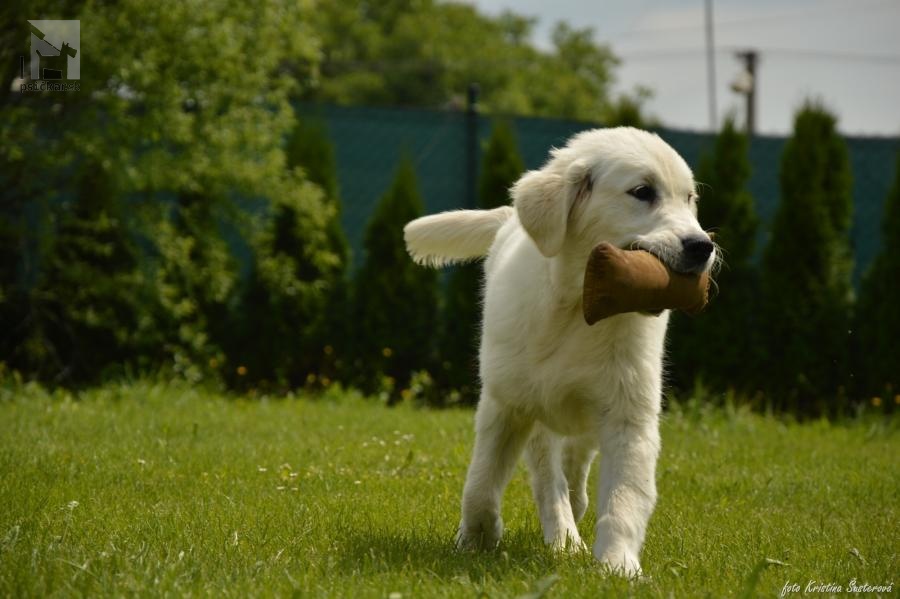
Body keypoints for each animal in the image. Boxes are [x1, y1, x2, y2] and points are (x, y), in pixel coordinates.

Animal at [404, 126, 712, 576]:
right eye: (642, 192)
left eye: (689, 199)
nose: (703, 246)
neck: (579, 307)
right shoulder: (506, 402)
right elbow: (482, 480)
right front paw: (475, 539)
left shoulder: (628, 414)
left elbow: (624, 497)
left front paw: (619, 566)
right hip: (538, 407)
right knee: (549, 479)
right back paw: (564, 537)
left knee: (575, 461)